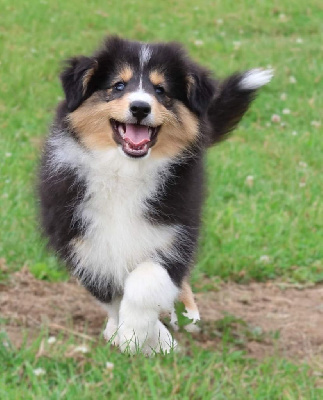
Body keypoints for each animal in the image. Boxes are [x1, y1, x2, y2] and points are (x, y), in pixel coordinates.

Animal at [38, 36, 274, 354]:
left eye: (161, 90)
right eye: (118, 86)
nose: (140, 107)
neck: (124, 171)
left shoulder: (175, 230)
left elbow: (147, 280)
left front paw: (138, 334)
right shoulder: (81, 238)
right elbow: (110, 295)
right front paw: (137, 337)